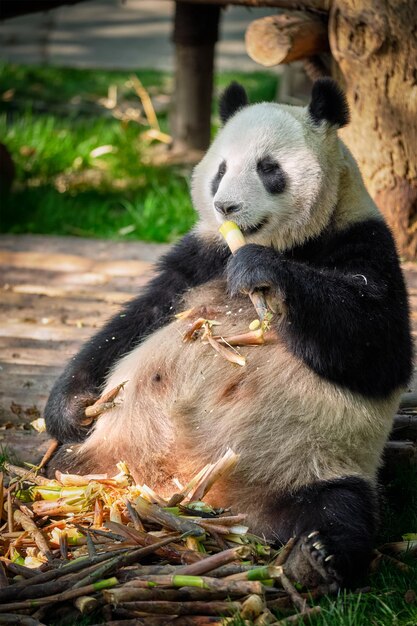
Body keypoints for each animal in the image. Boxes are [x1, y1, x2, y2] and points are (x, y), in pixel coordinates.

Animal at [44, 79, 412, 588]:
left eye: (268, 169)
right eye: (220, 170)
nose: (225, 206)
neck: (291, 243)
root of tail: (194, 497)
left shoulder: (365, 242)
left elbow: (378, 346)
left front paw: (263, 272)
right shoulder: (200, 257)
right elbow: (134, 321)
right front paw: (70, 407)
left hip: (312, 462)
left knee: (340, 508)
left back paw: (318, 557)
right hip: (101, 458)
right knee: (58, 469)